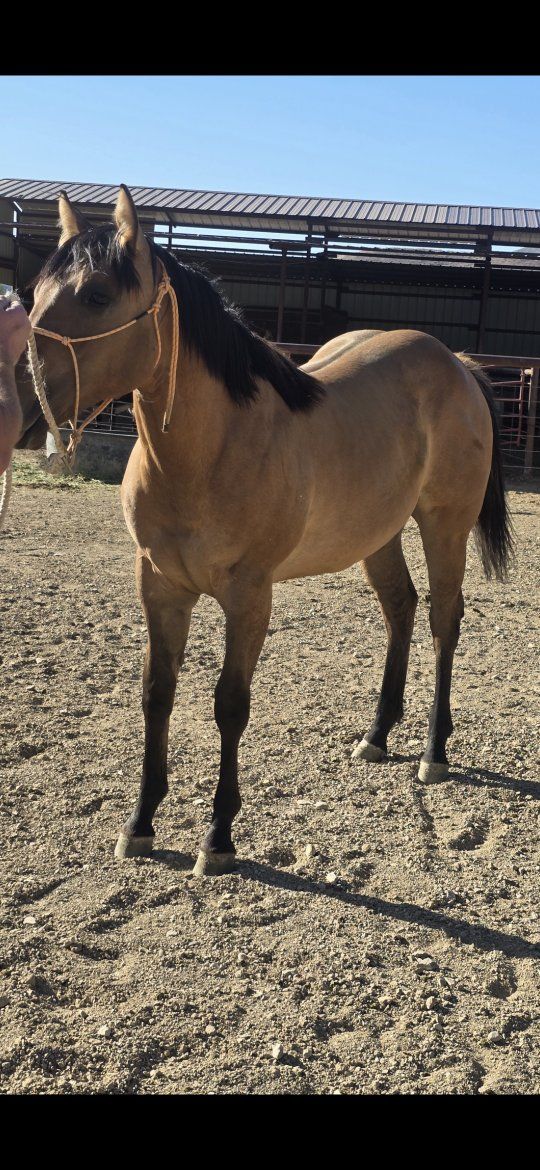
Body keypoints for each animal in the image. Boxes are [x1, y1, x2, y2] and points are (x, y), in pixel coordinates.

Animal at [15, 186, 513, 877]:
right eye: (34, 290)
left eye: (95, 295)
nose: (18, 395)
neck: (211, 449)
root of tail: (459, 364)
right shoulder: (160, 586)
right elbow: (156, 694)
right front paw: (140, 825)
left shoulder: (249, 595)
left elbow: (230, 704)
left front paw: (218, 837)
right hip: (379, 535)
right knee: (402, 609)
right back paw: (377, 735)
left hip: (445, 525)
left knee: (444, 619)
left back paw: (433, 753)